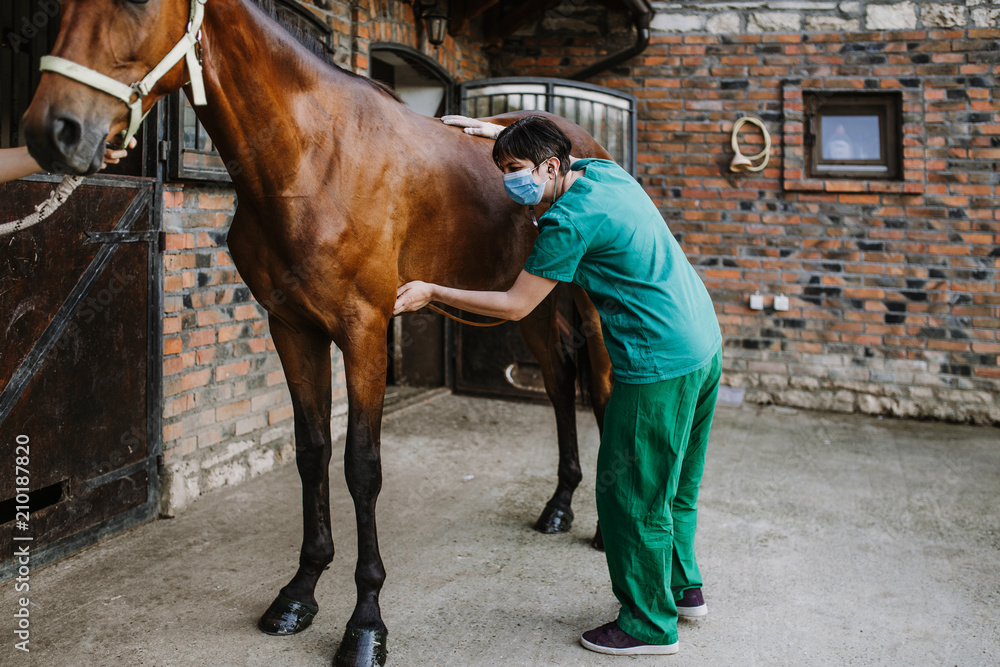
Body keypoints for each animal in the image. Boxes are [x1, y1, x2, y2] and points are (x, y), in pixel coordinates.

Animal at [22, 0, 613, 664]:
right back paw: (559, 506)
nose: (53, 129)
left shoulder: (363, 331)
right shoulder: (292, 329)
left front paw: (366, 623)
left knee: (606, 387)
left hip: (594, 305)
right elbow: (312, 454)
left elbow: (362, 467)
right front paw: (299, 593)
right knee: (560, 384)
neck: (313, 159)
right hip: (530, 306)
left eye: (139, 4)